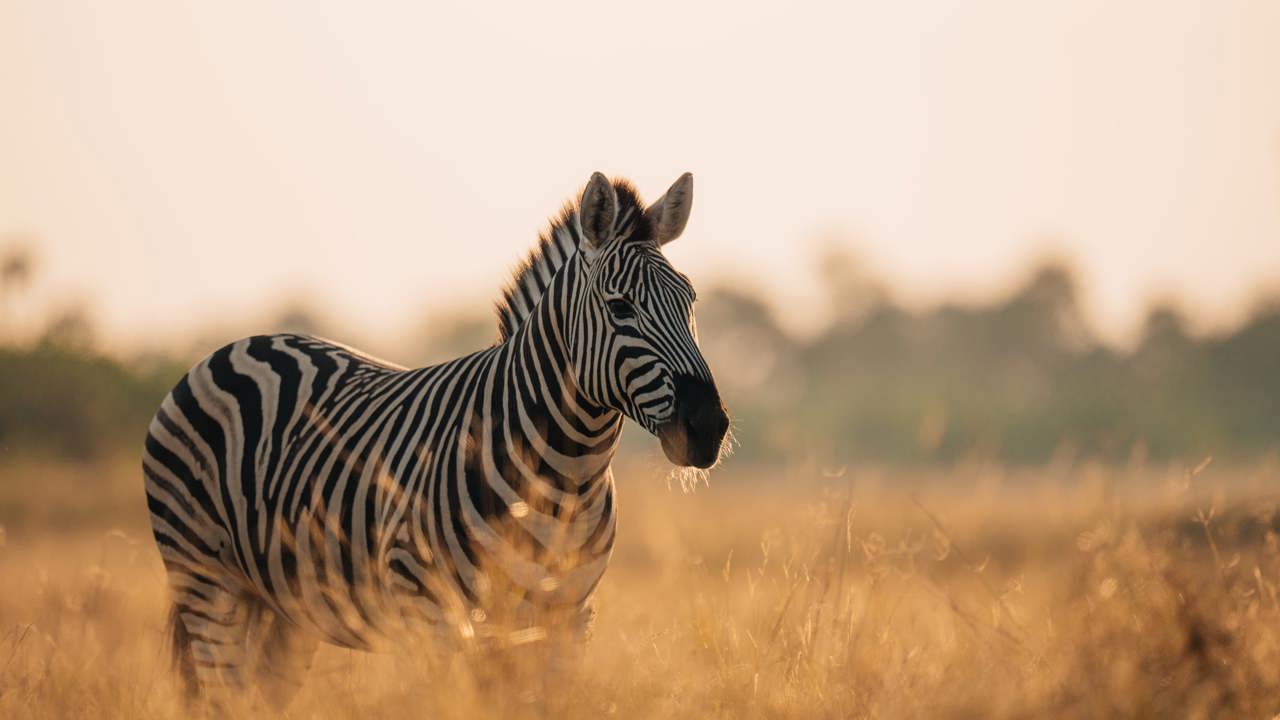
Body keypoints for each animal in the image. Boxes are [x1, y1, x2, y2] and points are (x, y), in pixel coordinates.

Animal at [142, 171, 730, 707]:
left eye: (690, 302)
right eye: (620, 307)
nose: (709, 427)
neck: (565, 476)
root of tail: (236, 346)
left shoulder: (564, 621)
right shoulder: (430, 615)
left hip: (284, 606)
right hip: (205, 581)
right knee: (224, 695)